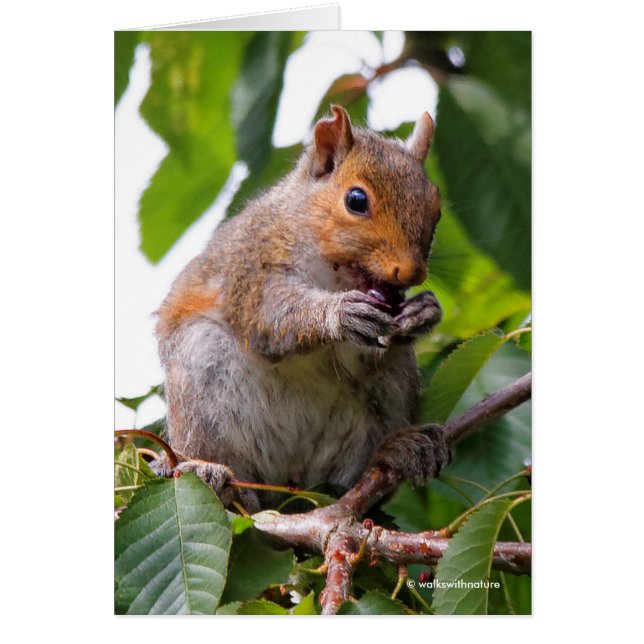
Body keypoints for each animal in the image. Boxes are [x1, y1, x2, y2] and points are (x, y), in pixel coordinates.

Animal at [152, 105, 450, 511]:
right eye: (356, 200)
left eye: (436, 209)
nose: (412, 272)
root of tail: (290, 486)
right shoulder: (253, 267)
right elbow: (271, 318)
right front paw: (337, 314)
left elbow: (361, 358)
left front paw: (425, 312)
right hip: (202, 376)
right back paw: (216, 479)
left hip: (390, 391)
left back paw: (397, 450)